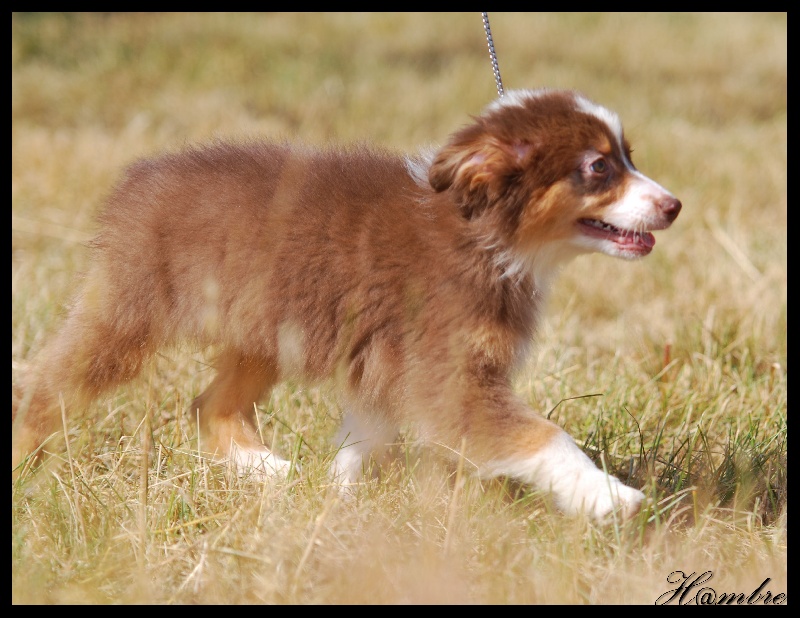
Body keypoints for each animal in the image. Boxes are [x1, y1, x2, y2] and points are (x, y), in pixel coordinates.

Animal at [12, 88, 680, 521]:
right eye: (598, 167)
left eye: (629, 157)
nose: (674, 206)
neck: (486, 236)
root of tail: (140, 178)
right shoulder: (447, 376)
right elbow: (543, 436)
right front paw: (613, 498)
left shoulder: (390, 364)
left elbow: (363, 439)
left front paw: (337, 502)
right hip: (127, 310)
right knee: (51, 385)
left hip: (264, 330)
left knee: (210, 406)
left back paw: (272, 472)